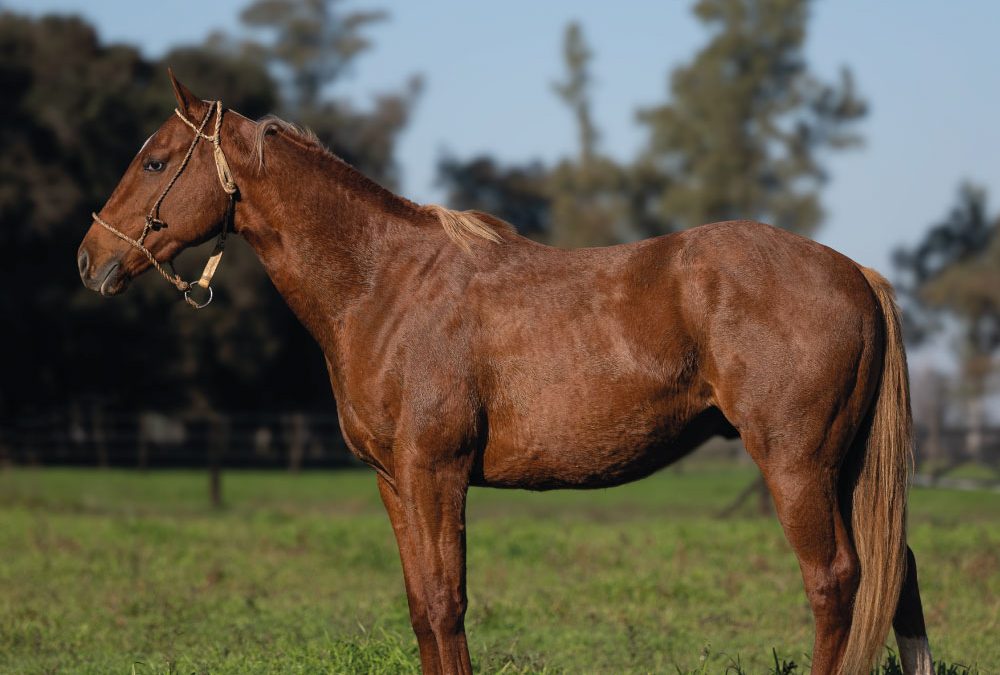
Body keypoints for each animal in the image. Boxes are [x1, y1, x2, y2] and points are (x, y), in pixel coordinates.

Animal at [76, 71, 928, 672]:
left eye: (155, 160)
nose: (90, 259)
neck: (384, 282)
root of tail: (854, 270)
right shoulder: (394, 480)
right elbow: (421, 607)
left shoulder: (436, 471)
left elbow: (447, 603)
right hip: (843, 469)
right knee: (896, 574)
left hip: (797, 465)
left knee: (836, 582)